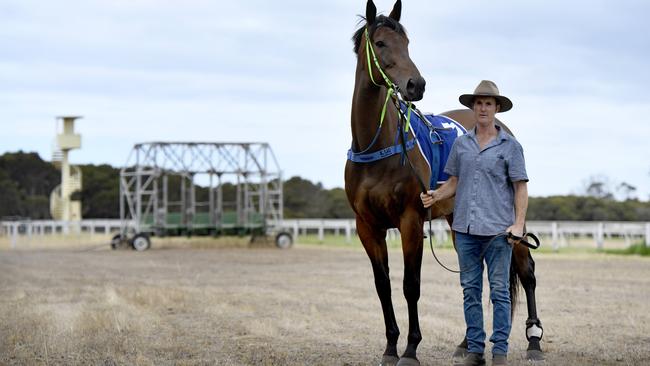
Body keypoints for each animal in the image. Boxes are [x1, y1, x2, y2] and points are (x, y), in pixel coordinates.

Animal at [344, 1, 540, 364]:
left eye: (407, 43)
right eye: (380, 43)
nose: (416, 85)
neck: (376, 150)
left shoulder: (410, 221)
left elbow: (410, 285)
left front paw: (410, 349)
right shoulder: (367, 226)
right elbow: (383, 286)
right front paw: (390, 347)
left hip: (512, 223)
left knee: (527, 269)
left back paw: (534, 340)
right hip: (456, 220)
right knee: (474, 276)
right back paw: (466, 343)